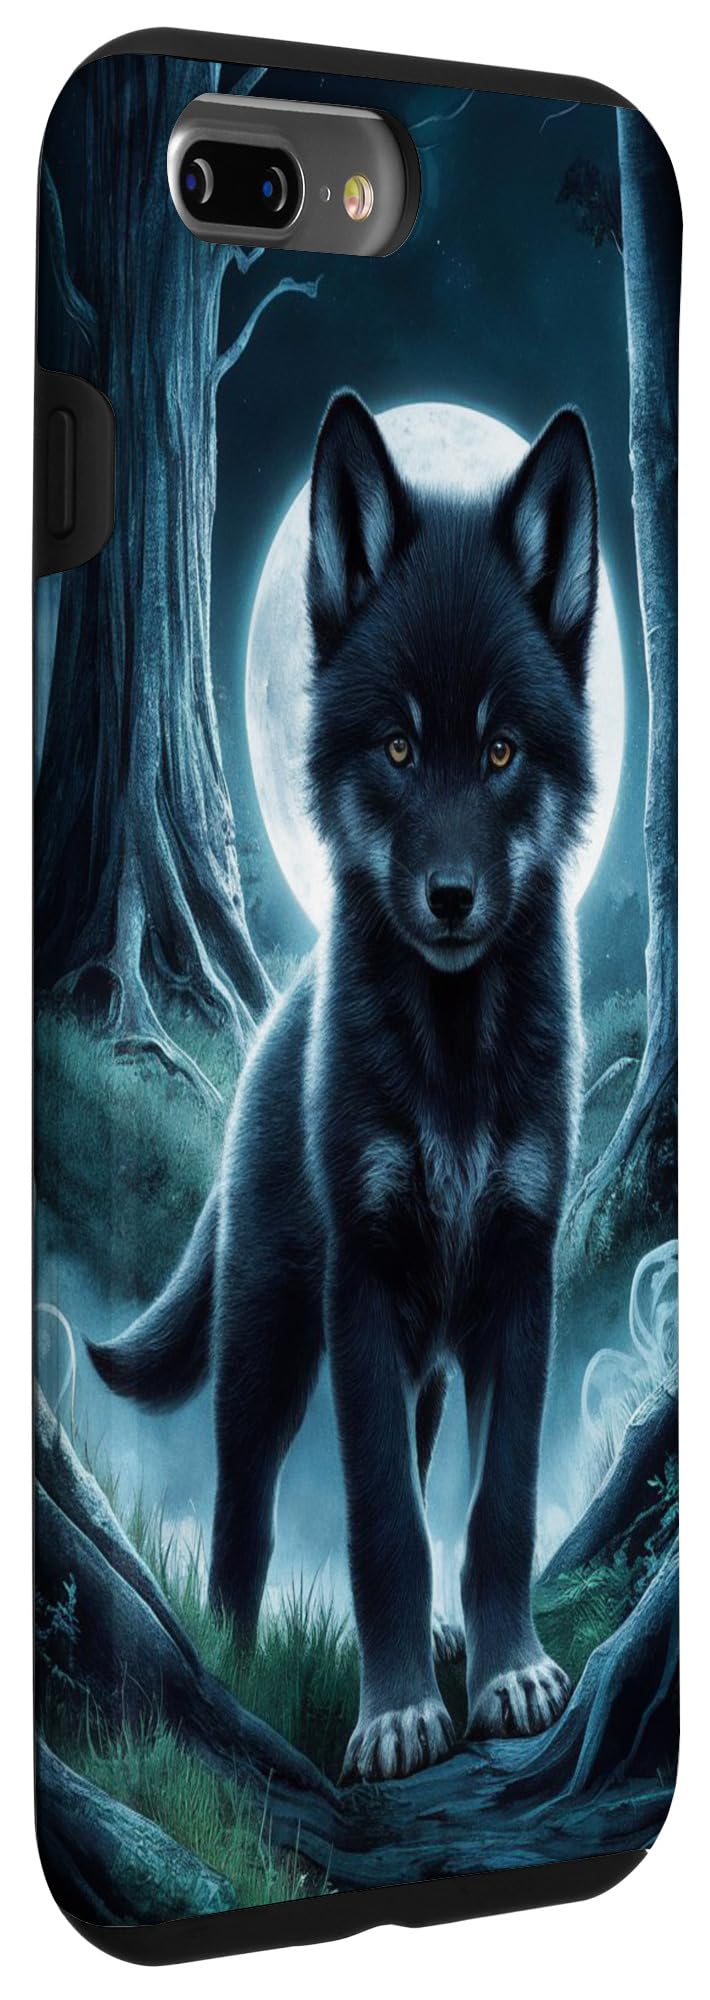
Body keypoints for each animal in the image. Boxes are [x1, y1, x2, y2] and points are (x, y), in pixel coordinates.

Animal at [88, 391, 598, 1782]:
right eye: (396, 746)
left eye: (499, 749)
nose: (450, 899)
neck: (453, 1053)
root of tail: (273, 1019)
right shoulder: (359, 1287)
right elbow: (379, 1522)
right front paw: (394, 1712)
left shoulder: (517, 1278)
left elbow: (492, 1506)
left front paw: (507, 1670)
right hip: (270, 1335)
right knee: (243, 1515)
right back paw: (238, 1663)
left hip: (418, 1354)